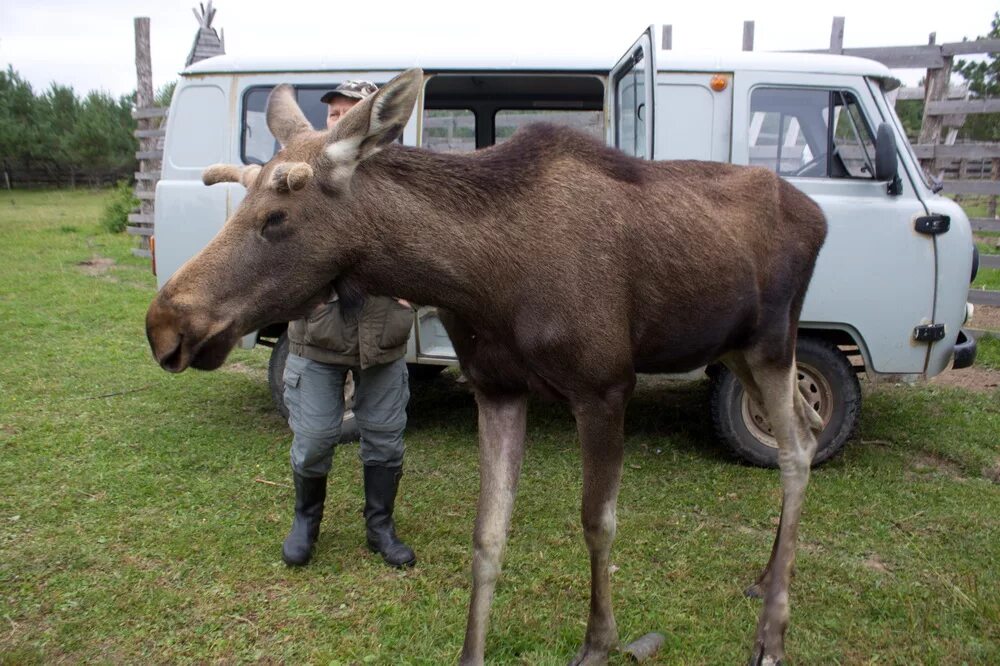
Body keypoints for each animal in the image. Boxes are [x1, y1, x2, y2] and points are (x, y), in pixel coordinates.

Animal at [143, 68, 828, 664]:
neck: (482, 278)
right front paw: (472, 650)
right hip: (735, 349)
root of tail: (818, 216)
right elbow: (488, 533)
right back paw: (765, 580)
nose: (163, 324)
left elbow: (598, 523)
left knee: (797, 451)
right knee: (809, 427)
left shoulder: (605, 386)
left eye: (276, 216)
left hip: (774, 341)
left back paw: (772, 633)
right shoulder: (496, 388)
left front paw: (599, 641)